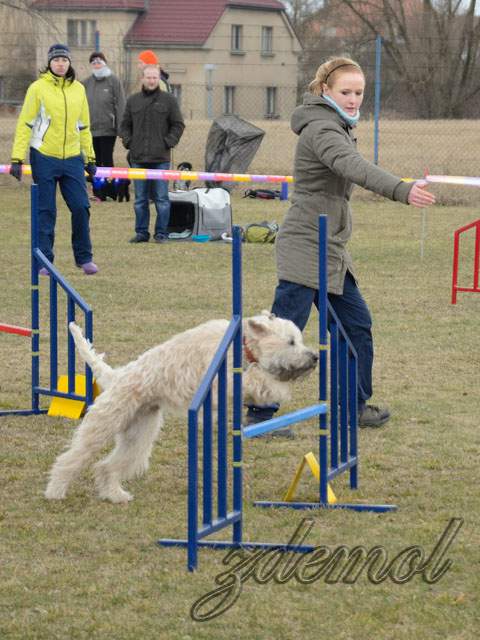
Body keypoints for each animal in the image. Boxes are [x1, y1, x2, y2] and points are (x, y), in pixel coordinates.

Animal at [44, 312, 316, 502]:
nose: (314, 357)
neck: (243, 346)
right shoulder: (222, 379)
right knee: (70, 459)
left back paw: (116, 495)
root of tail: (115, 376)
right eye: (291, 342)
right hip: (103, 426)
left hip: (139, 436)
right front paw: (277, 388)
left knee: (107, 467)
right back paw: (55, 491)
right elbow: (256, 379)